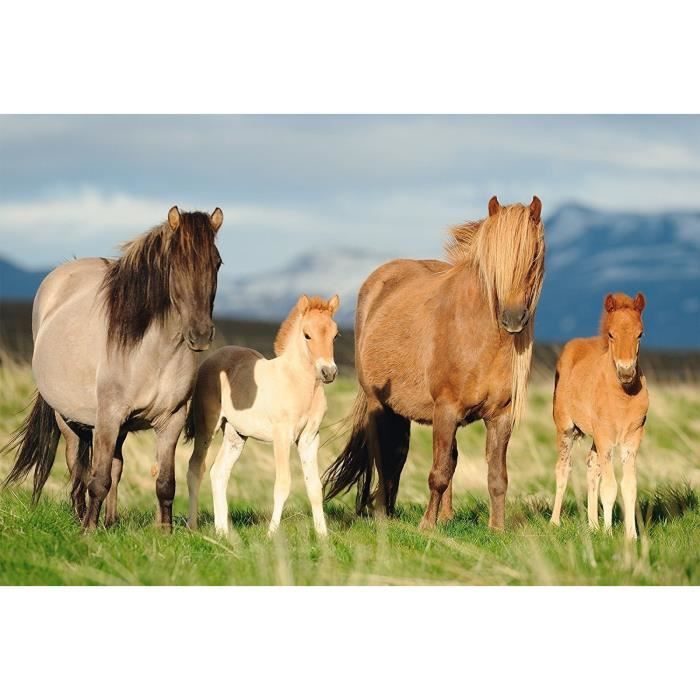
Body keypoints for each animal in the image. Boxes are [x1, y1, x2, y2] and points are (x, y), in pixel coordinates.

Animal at [2, 206, 224, 532]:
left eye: (217, 262)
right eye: (175, 264)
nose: (200, 334)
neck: (152, 352)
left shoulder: (171, 420)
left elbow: (165, 483)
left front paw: (166, 532)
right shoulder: (108, 418)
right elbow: (98, 479)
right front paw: (88, 532)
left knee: (115, 466)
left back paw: (110, 520)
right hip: (68, 419)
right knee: (77, 466)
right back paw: (82, 516)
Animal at [185, 294, 340, 537]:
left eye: (335, 335)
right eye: (307, 335)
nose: (329, 372)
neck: (298, 383)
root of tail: (211, 359)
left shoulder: (309, 438)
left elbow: (314, 486)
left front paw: (323, 535)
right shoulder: (282, 436)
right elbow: (283, 484)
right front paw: (272, 533)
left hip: (235, 435)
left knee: (219, 472)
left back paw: (222, 531)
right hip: (206, 427)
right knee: (195, 468)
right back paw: (193, 526)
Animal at [323, 195, 545, 530]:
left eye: (532, 259)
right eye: (494, 263)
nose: (513, 319)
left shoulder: (500, 417)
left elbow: (496, 477)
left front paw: (497, 528)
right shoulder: (445, 410)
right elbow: (438, 473)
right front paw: (427, 527)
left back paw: (442, 515)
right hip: (380, 406)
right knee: (386, 458)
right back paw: (384, 515)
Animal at [550, 292, 648, 539]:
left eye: (640, 334)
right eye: (611, 334)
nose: (626, 372)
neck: (622, 397)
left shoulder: (632, 438)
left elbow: (629, 485)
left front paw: (631, 536)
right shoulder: (605, 437)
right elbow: (610, 486)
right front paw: (609, 533)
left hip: (595, 436)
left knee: (591, 466)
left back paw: (593, 524)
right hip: (565, 428)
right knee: (563, 468)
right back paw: (554, 522)